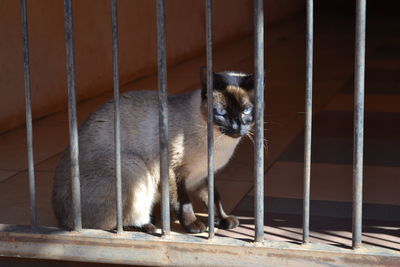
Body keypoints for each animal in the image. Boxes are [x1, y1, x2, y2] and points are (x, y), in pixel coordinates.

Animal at [51, 68, 255, 234]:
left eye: (246, 111)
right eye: (221, 113)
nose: (236, 128)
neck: (219, 143)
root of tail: (63, 221)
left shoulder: (203, 175)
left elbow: (214, 200)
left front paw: (224, 220)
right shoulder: (174, 171)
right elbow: (183, 203)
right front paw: (194, 226)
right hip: (132, 165)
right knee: (110, 225)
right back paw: (148, 225)